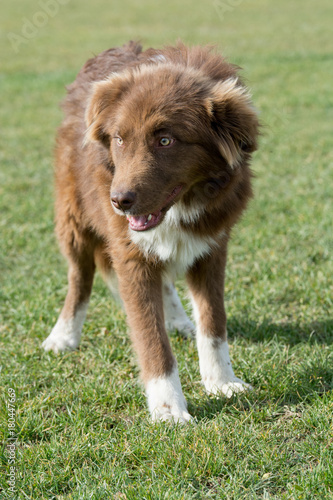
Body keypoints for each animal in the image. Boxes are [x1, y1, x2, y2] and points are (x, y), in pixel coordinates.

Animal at [42, 41, 260, 422]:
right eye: (119, 138)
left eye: (166, 140)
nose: (119, 201)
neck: (181, 207)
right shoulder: (129, 253)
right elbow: (151, 337)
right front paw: (168, 408)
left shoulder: (211, 246)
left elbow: (214, 324)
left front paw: (221, 382)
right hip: (73, 215)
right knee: (79, 275)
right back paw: (64, 334)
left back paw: (177, 318)